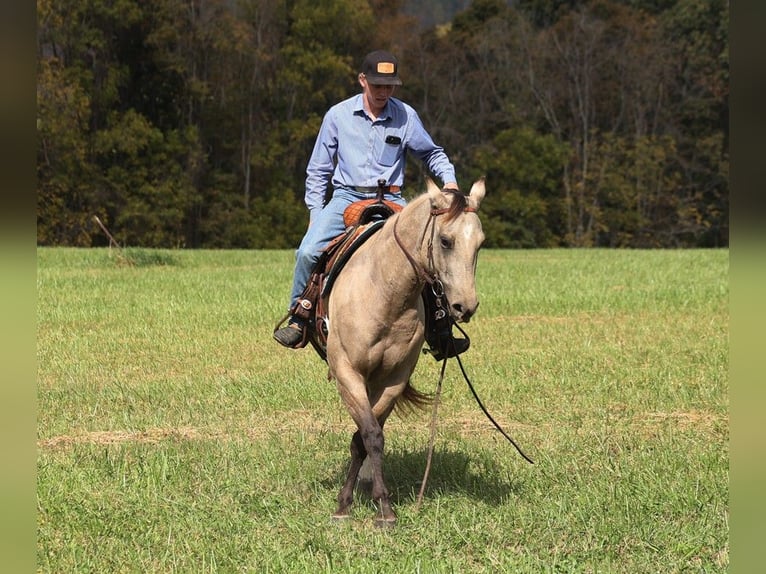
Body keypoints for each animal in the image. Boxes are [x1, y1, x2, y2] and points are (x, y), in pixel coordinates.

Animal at [326, 178, 486, 528]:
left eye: (480, 244)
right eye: (445, 240)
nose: (465, 307)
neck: (385, 291)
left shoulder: (394, 378)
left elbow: (365, 437)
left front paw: (376, 504)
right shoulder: (347, 372)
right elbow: (370, 434)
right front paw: (354, 506)